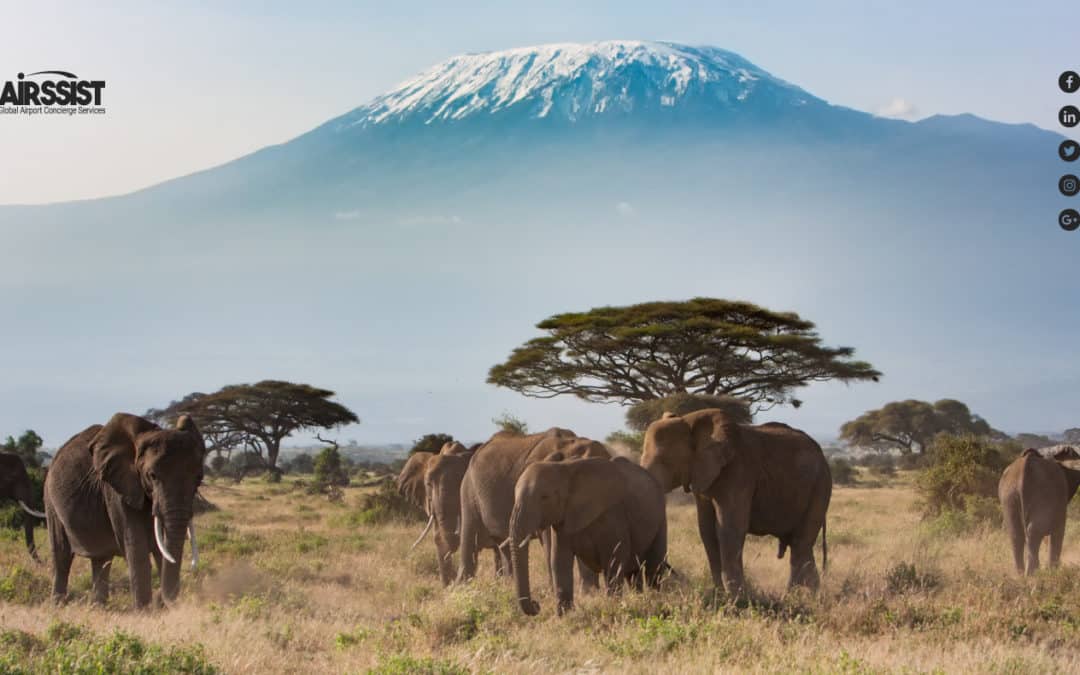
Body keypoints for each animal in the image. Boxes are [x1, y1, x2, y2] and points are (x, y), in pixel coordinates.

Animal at [44, 410, 205, 604]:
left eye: (199, 478)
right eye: (152, 476)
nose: (162, 599)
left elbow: (160, 548)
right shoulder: (117, 489)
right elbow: (136, 546)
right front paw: (145, 610)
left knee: (101, 559)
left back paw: (99, 607)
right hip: (51, 500)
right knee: (62, 556)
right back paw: (57, 605)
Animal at [507, 455, 665, 613]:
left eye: (544, 497)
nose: (536, 604)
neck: (564, 469)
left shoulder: (613, 514)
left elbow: (614, 561)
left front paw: (613, 606)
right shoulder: (563, 520)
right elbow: (559, 561)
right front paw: (566, 615)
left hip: (660, 515)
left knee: (653, 567)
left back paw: (655, 598)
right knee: (633, 573)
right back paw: (640, 598)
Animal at [639, 408, 833, 596]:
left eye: (664, 460)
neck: (690, 420)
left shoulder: (738, 472)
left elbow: (729, 529)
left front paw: (737, 597)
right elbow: (707, 531)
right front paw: (720, 594)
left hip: (820, 486)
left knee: (801, 544)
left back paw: (801, 596)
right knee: (799, 545)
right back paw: (804, 594)